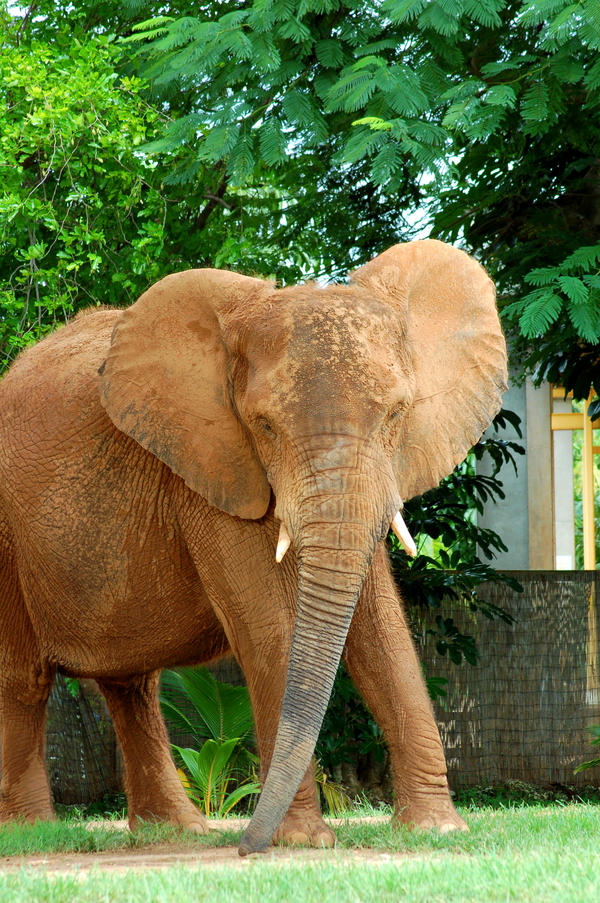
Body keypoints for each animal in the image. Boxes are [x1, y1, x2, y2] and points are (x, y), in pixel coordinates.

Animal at [0, 238, 506, 856]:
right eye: (263, 425)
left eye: (396, 413)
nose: (243, 844)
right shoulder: (213, 469)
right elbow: (268, 625)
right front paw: (304, 842)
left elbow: (381, 627)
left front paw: (436, 829)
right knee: (23, 679)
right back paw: (31, 831)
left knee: (132, 685)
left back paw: (177, 830)